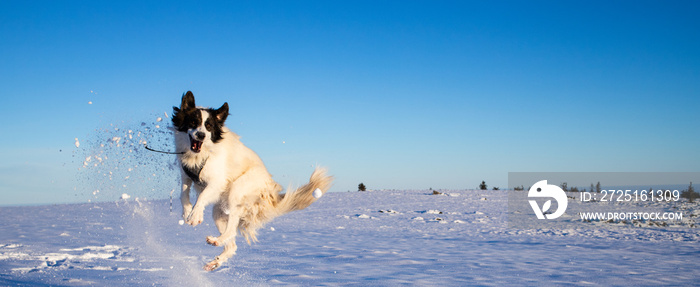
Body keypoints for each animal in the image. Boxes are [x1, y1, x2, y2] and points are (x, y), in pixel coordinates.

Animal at [171, 91, 332, 272]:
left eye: (209, 126)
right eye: (193, 122)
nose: (201, 135)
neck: (200, 154)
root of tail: (269, 186)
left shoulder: (217, 181)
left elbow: (202, 196)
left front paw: (195, 215)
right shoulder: (186, 175)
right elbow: (183, 194)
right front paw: (187, 212)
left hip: (237, 190)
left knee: (232, 230)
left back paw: (217, 240)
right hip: (219, 211)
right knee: (232, 244)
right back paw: (215, 258)